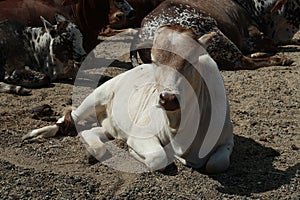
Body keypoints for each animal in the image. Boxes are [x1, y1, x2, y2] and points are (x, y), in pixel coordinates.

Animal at [23, 25, 234, 173]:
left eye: (191, 61)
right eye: (155, 61)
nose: (168, 98)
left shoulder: (227, 141)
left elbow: (218, 163)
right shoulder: (142, 134)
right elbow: (158, 158)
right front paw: (135, 153)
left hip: (110, 125)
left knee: (92, 132)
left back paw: (94, 151)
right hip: (97, 96)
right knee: (71, 117)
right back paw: (37, 133)